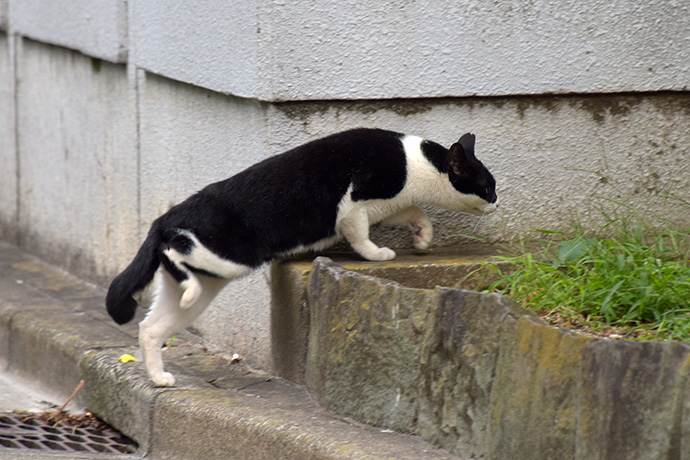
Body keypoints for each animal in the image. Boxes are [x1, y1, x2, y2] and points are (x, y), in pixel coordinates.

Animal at [105, 127, 498, 386]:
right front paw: (379, 253)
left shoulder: (388, 204)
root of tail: (164, 218)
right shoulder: (355, 203)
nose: (497, 201)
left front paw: (423, 236)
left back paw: (159, 378)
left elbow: (416, 211)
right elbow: (360, 234)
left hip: (206, 281)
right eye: (487, 185)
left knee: (151, 327)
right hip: (224, 255)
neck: (414, 164)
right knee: (175, 252)